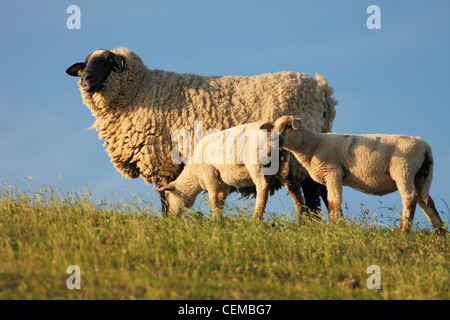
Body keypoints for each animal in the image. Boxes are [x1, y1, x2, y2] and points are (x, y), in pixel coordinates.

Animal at [156, 121, 304, 219]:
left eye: (167, 196)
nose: (171, 218)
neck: (194, 175)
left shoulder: (209, 177)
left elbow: (213, 198)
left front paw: (214, 220)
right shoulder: (224, 185)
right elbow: (221, 201)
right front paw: (219, 219)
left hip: (256, 163)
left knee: (263, 186)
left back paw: (256, 218)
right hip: (285, 165)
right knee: (293, 187)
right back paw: (302, 217)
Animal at [260, 116, 446, 234]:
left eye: (288, 126)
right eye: (273, 128)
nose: (273, 140)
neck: (313, 145)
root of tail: (425, 146)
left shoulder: (333, 172)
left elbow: (333, 201)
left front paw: (335, 227)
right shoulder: (329, 176)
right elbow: (331, 202)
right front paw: (336, 225)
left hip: (403, 169)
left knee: (410, 197)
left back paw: (403, 232)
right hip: (422, 174)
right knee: (426, 201)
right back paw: (441, 232)